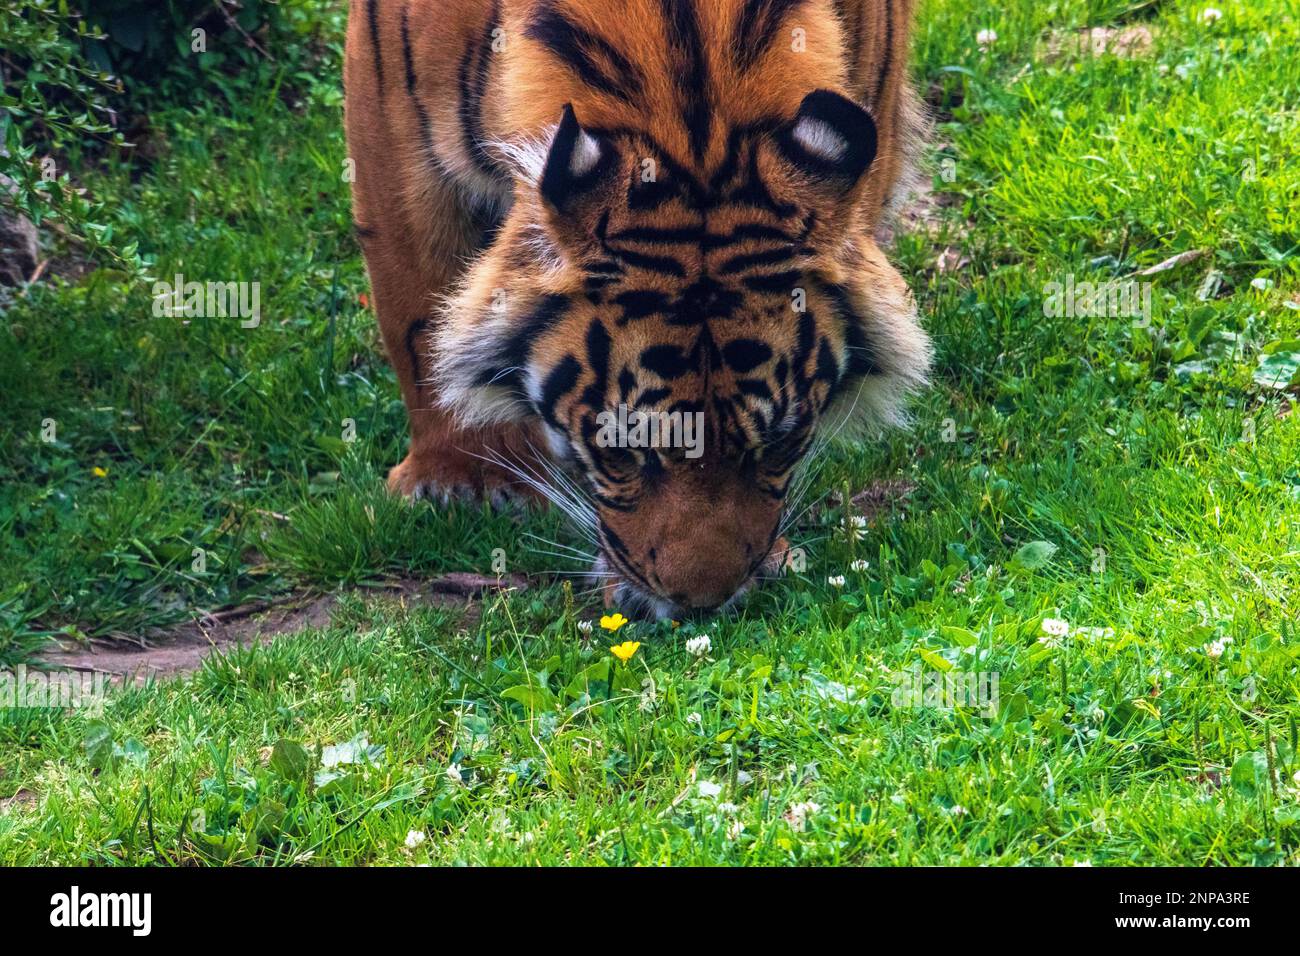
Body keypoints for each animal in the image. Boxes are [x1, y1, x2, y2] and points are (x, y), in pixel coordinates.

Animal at [345, 0, 930, 621]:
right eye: (620, 451)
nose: (702, 604)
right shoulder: (396, 125)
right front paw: (463, 478)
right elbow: (418, 316)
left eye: (780, 443)